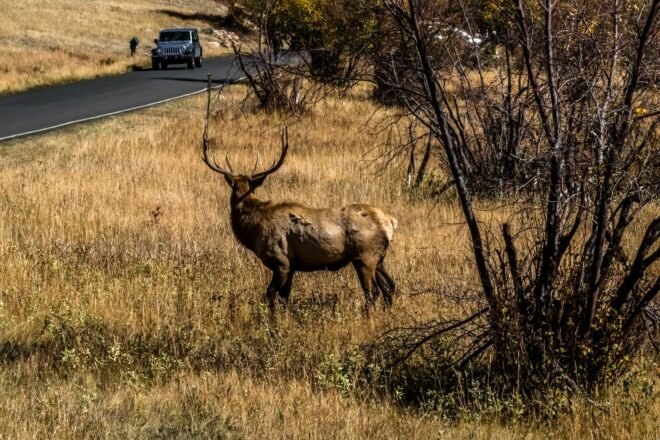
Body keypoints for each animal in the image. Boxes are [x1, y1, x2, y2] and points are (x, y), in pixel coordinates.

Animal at [201, 128, 397, 315]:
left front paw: (272, 321)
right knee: (389, 286)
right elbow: (284, 297)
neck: (253, 229)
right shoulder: (293, 265)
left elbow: (271, 295)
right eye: (234, 186)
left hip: (365, 256)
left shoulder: (281, 261)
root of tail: (390, 222)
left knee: (372, 292)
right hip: (379, 258)